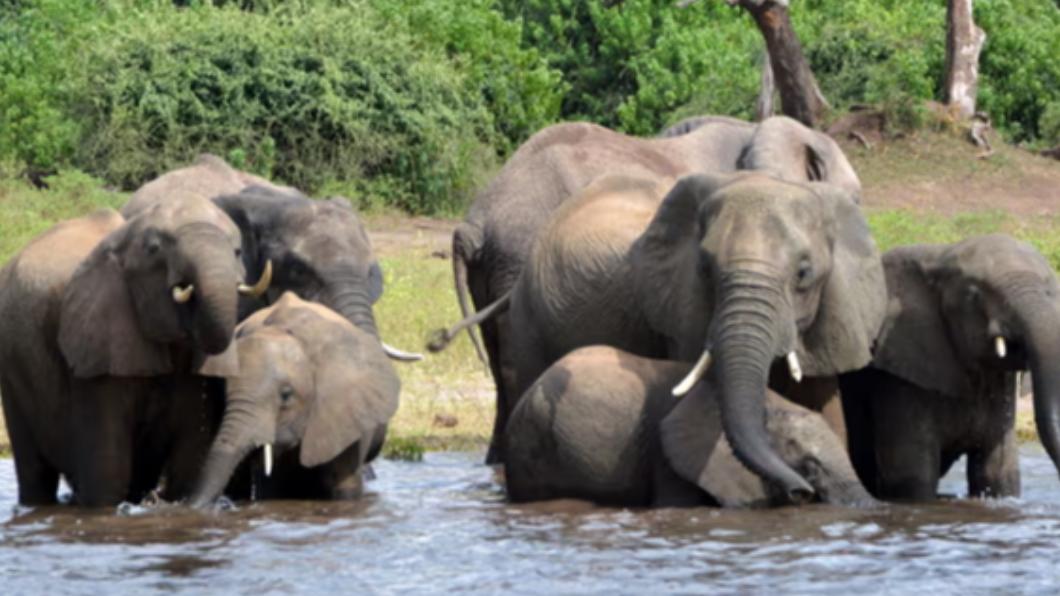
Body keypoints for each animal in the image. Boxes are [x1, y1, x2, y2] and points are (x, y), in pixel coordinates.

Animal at [0, 195, 269, 506]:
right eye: (154, 250)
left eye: (237, 252)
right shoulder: (97, 341)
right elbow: (108, 473)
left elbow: (190, 461)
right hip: (12, 368)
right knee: (34, 472)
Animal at [839, 234, 1060, 500]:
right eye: (974, 294)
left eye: (1049, 291)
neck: (942, 256)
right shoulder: (898, 376)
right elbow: (913, 476)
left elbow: (997, 472)